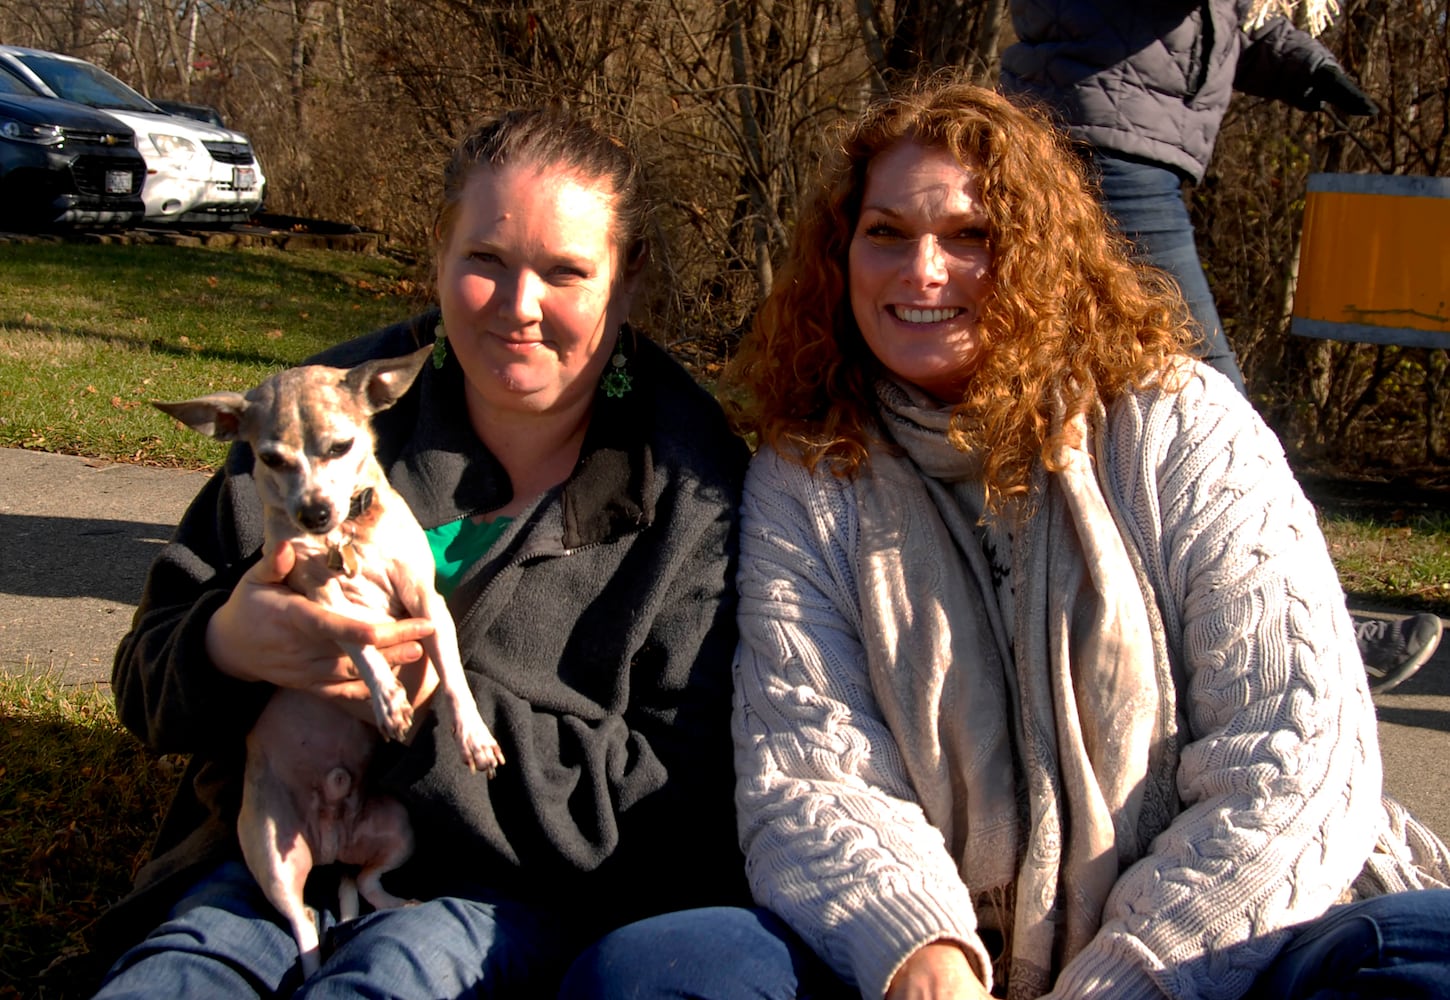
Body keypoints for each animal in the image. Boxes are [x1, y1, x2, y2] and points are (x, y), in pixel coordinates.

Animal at [153, 344, 504, 973]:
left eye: (341, 447)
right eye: (272, 459)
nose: (314, 512)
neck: (345, 538)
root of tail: (331, 844)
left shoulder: (427, 604)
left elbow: (452, 675)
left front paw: (473, 735)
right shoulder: (314, 602)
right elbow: (357, 635)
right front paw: (386, 697)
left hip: (400, 830)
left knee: (360, 885)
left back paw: (398, 903)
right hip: (270, 857)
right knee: (305, 923)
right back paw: (312, 964)